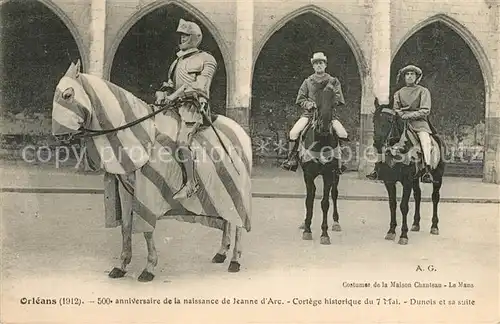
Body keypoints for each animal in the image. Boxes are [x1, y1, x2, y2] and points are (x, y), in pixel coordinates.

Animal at [51, 60, 252, 280]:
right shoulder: (125, 189)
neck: (138, 133)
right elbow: (126, 227)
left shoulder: (147, 192)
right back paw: (221, 252)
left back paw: (235, 260)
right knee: (229, 219)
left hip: (239, 189)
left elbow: (146, 230)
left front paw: (148, 268)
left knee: (240, 222)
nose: (58, 136)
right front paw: (122, 265)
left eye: (67, 95)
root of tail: (240, 131)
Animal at [298, 87, 342, 244]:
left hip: (336, 175)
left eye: (333, 103)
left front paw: (324, 234)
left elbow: (325, 203)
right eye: (316, 103)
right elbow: (309, 200)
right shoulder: (308, 175)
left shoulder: (329, 174)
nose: (324, 127)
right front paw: (307, 229)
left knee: (334, 194)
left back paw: (336, 222)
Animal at [372, 97, 446, 244]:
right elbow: (392, 205)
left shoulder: (406, 181)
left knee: (435, 197)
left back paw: (434, 226)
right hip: (415, 179)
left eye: (390, 120)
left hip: (437, 177)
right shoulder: (389, 181)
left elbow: (403, 206)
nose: (377, 143)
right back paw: (416, 224)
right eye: (374, 119)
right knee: (418, 195)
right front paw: (391, 231)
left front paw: (403, 235)